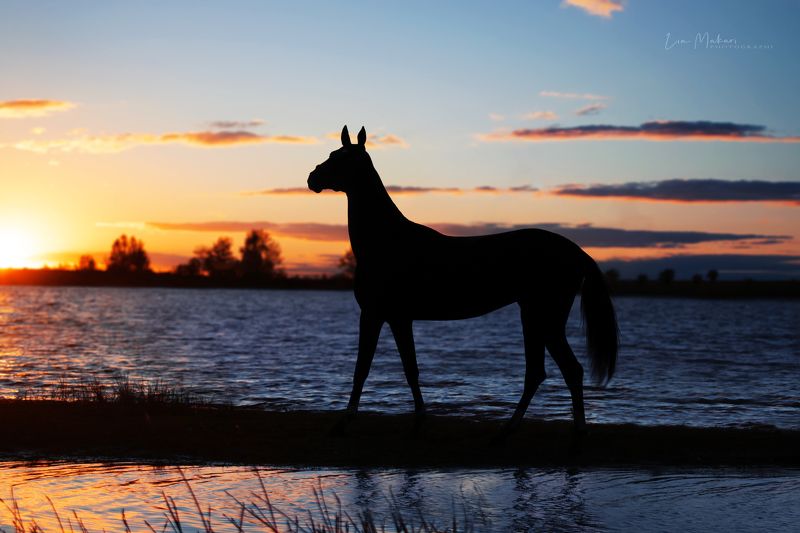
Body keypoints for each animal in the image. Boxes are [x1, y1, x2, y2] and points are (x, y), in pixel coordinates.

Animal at [308, 125, 618, 440]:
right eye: (333, 153)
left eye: (342, 158)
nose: (312, 178)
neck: (386, 241)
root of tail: (577, 252)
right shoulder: (398, 318)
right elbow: (410, 368)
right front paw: (418, 420)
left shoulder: (373, 314)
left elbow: (363, 368)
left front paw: (343, 422)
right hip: (533, 316)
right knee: (538, 373)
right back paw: (509, 429)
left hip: (546, 318)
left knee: (569, 370)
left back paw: (574, 431)